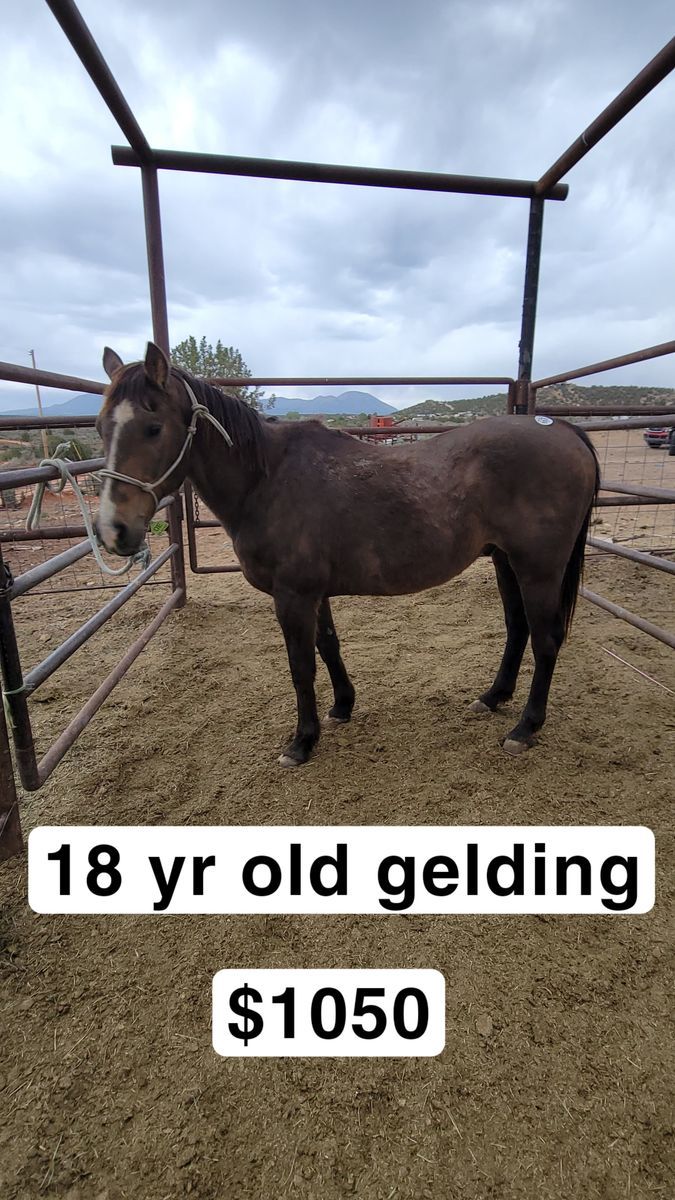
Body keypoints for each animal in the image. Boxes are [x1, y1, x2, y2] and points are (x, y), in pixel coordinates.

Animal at [96, 342, 599, 767]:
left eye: (153, 427)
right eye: (101, 427)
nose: (113, 531)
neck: (267, 480)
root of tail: (563, 429)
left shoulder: (293, 596)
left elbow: (301, 666)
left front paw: (302, 741)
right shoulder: (313, 593)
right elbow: (328, 646)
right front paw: (342, 706)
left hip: (538, 569)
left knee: (546, 639)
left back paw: (525, 728)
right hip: (504, 560)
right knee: (517, 629)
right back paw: (493, 698)